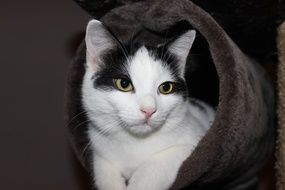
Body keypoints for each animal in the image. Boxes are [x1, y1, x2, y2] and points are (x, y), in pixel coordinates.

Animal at [81, 19, 214, 190]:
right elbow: (104, 174)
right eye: (124, 84)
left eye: (166, 87)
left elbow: (156, 166)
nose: (149, 110)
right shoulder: (100, 151)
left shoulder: (196, 143)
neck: (135, 143)